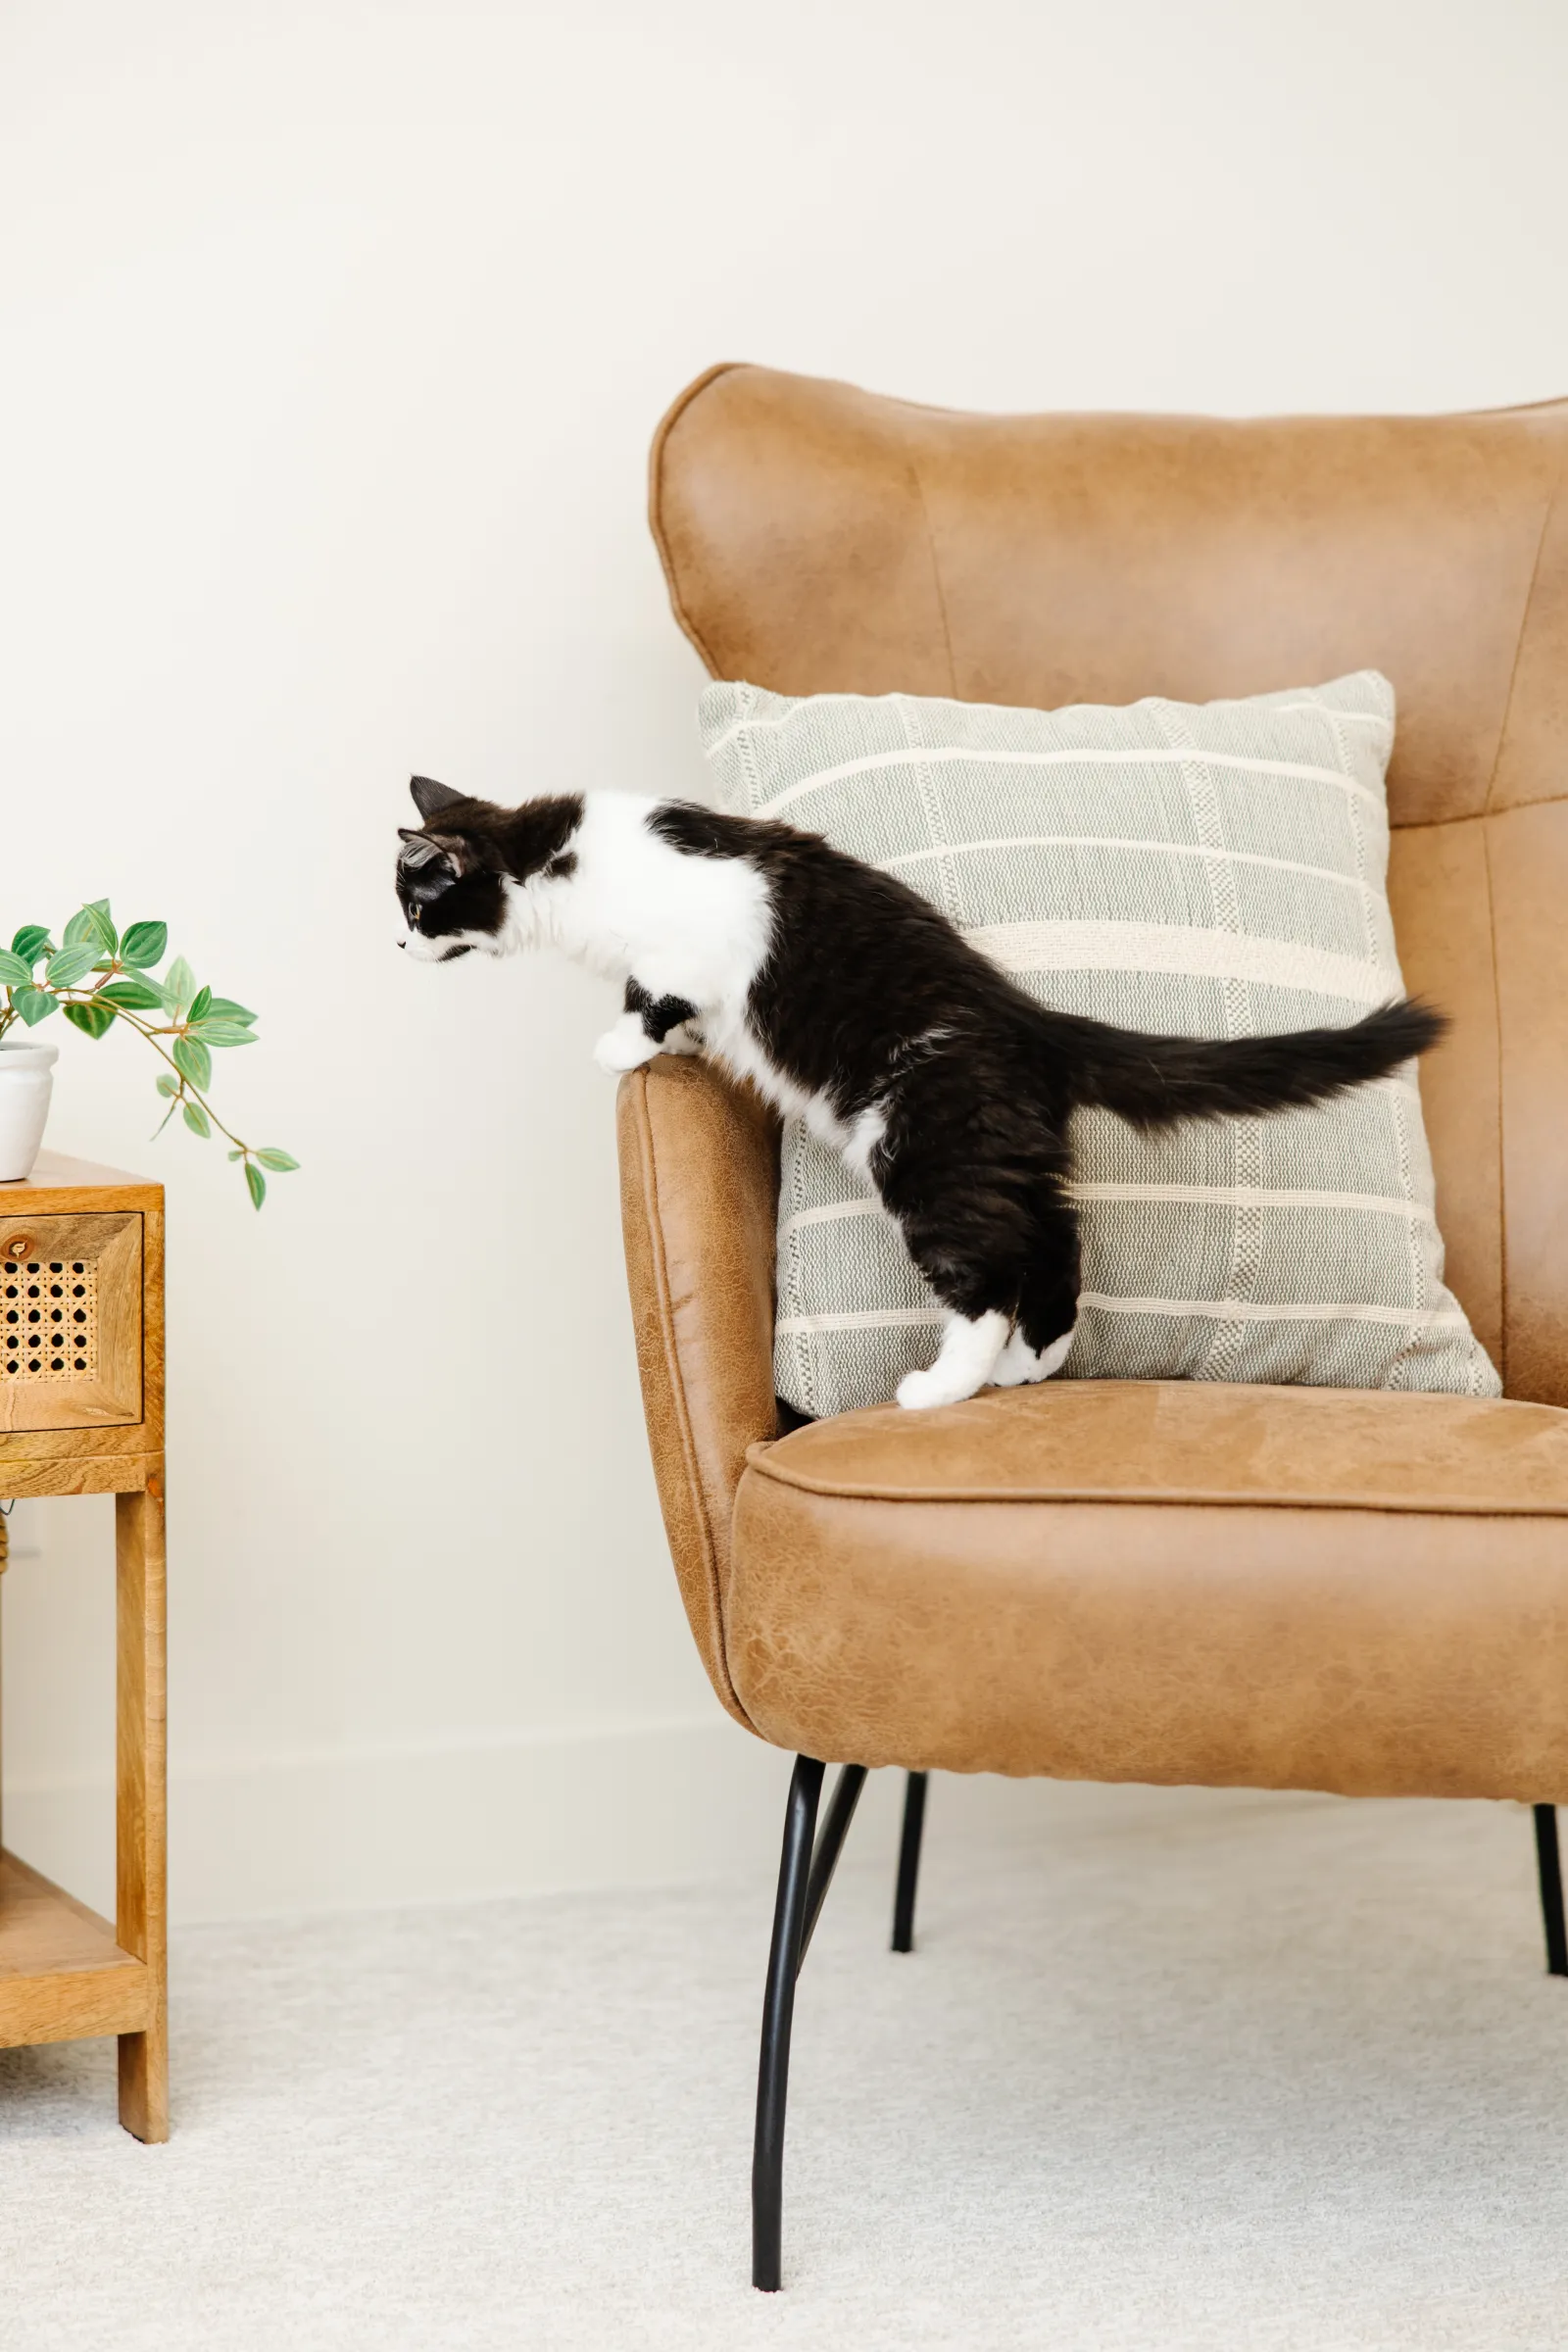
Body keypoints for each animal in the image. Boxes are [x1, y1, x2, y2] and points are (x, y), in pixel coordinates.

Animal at [394, 771, 1447, 1401]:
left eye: (414, 904)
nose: (396, 948)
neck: (557, 860)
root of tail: (1028, 1021)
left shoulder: (686, 945)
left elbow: (653, 995)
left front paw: (622, 1046)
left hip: (923, 1151)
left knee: (987, 1277)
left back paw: (945, 1386)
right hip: (1001, 1153)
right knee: (1057, 1244)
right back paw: (1030, 1364)